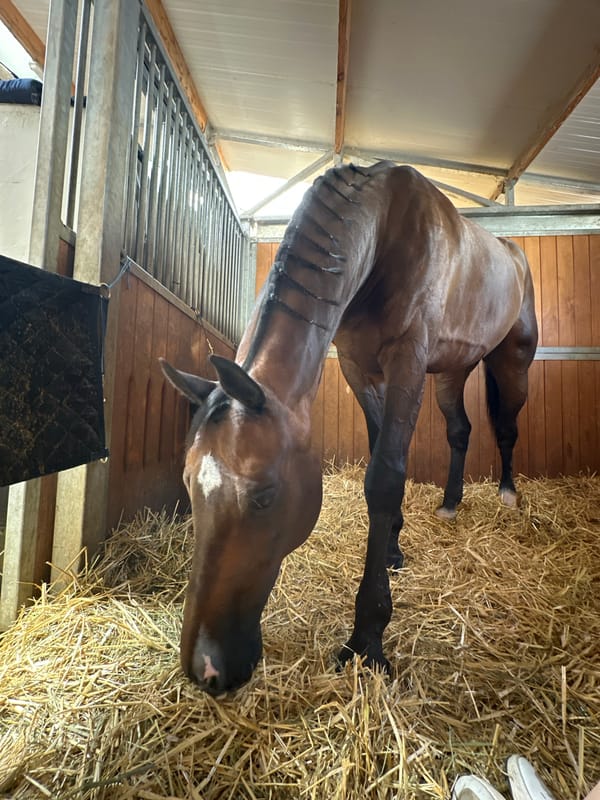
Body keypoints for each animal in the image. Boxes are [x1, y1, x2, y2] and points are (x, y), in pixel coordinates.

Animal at [160, 162, 538, 694]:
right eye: (189, 485)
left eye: (264, 497)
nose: (206, 669)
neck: (383, 231)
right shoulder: (359, 368)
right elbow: (381, 459)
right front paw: (393, 548)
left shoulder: (406, 361)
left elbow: (385, 477)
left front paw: (367, 639)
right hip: (452, 369)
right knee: (460, 430)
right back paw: (449, 503)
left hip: (513, 360)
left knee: (505, 426)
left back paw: (507, 492)